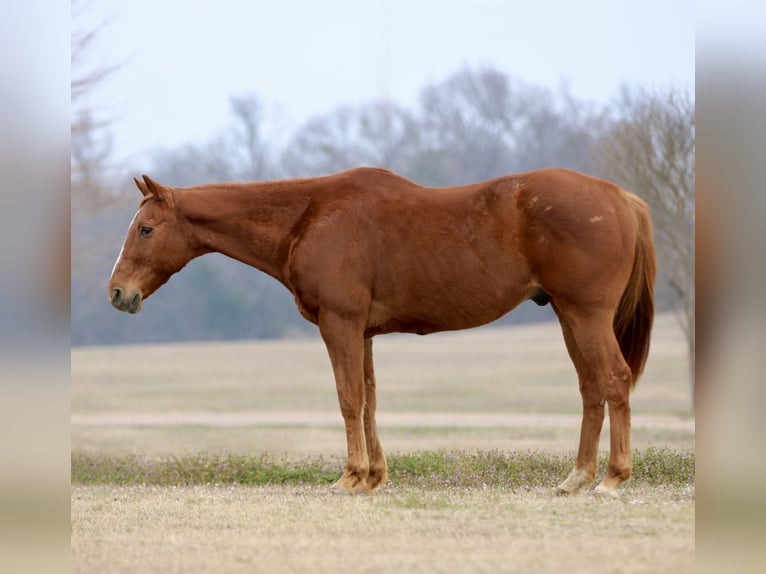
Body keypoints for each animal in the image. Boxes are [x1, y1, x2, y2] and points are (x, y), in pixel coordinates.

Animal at [108, 166, 655, 496]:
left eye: (146, 229)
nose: (117, 293)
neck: (310, 216)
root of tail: (618, 196)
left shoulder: (341, 324)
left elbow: (349, 398)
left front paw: (349, 477)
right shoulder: (364, 332)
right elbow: (369, 399)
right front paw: (372, 477)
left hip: (586, 315)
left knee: (614, 380)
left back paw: (611, 479)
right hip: (569, 317)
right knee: (591, 388)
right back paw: (576, 479)